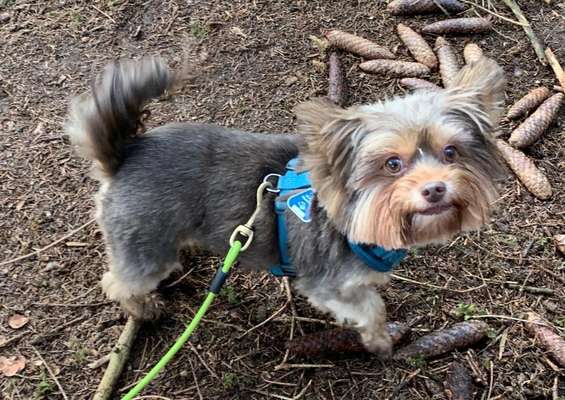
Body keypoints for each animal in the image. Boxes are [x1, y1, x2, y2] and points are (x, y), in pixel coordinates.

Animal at [67, 54, 506, 354]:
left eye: (451, 153)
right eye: (392, 164)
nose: (435, 189)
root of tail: (125, 154)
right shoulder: (325, 284)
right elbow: (371, 307)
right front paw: (380, 340)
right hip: (143, 245)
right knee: (118, 281)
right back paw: (144, 307)